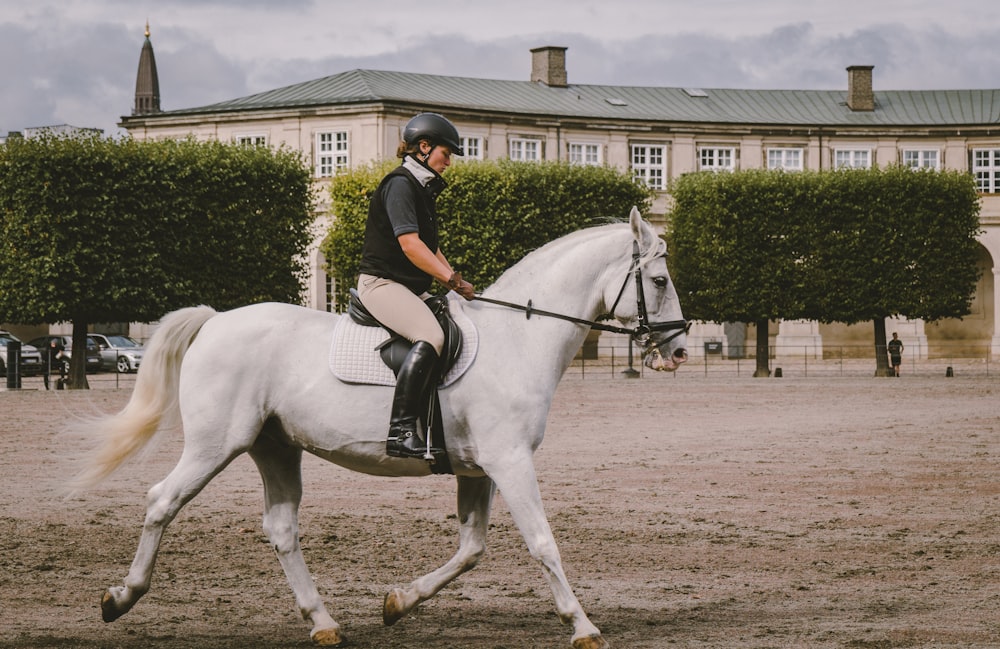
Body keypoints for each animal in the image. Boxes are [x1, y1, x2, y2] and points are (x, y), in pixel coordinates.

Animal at [74, 206, 688, 648]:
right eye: (658, 281)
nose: (679, 350)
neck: (518, 337)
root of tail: (215, 320)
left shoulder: (478, 468)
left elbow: (471, 548)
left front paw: (398, 602)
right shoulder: (510, 460)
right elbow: (542, 542)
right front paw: (582, 625)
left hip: (275, 447)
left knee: (281, 528)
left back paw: (322, 622)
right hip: (215, 445)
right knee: (161, 501)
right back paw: (121, 598)